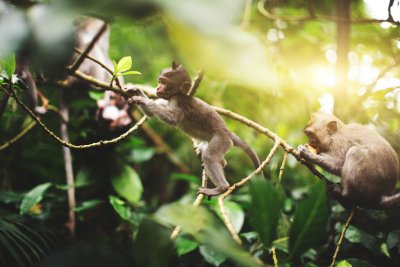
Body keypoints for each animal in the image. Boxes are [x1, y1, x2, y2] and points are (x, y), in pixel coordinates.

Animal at [128, 62, 264, 197]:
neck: (176, 95)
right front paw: (136, 91)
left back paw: (221, 188)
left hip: (222, 140)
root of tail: (227, 132)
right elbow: (150, 114)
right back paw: (221, 162)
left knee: (209, 156)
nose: (157, 88)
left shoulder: (178, 101)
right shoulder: (165, 101)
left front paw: (143, 99)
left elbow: (172, 119)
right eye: (159, 81)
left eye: (164, 82)